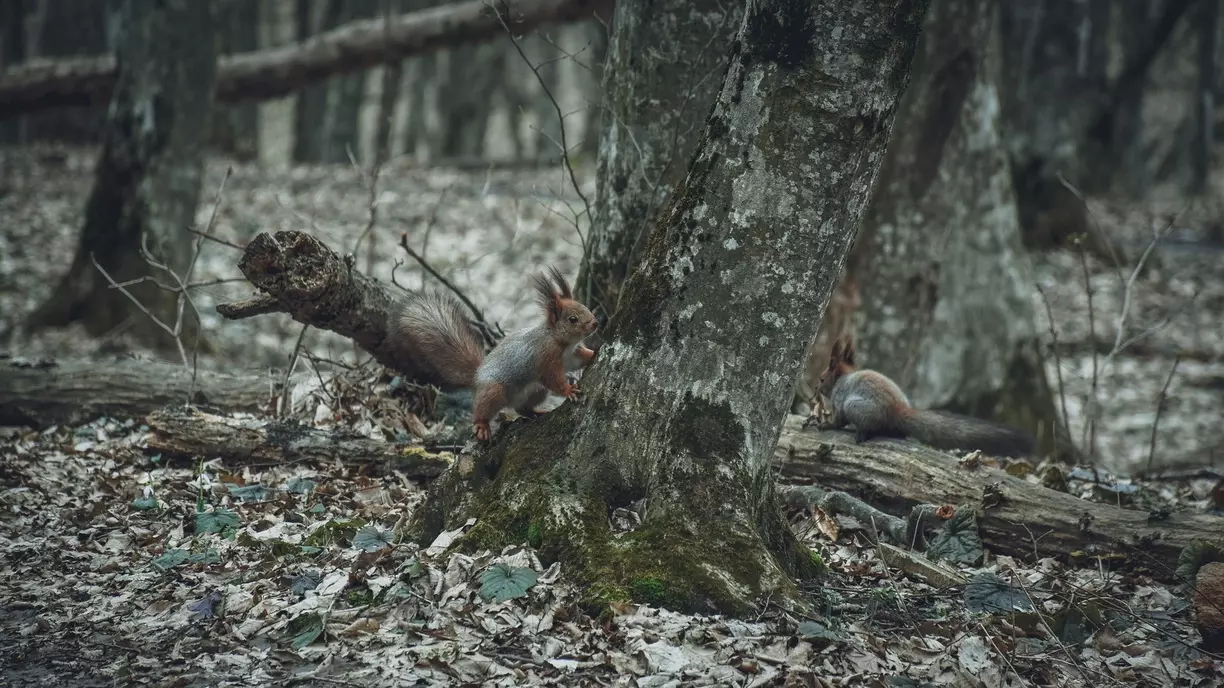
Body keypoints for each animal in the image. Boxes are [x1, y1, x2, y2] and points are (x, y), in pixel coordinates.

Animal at [394, 265, 599, 440]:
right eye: (572, 319)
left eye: (585, 307)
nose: (595, 323)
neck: (560, 341)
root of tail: (477, 376)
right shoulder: (544, 357)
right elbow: (553, 378)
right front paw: (569, 389)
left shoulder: (571, 355)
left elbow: (579, 359)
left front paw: (594, 353)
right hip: (494, 390)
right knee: (481, 409)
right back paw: (482, 426)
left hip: (537, 392)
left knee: (521, 409)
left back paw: (535, 412)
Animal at [812, 332, 1033, 455]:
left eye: (822, 379)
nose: (817, 389)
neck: (842, 379)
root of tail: (896, 409)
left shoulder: (840, 401)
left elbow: (838, 420)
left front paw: (825, 424)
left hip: (855, 406)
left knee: (871, 427)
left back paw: (862, 434)